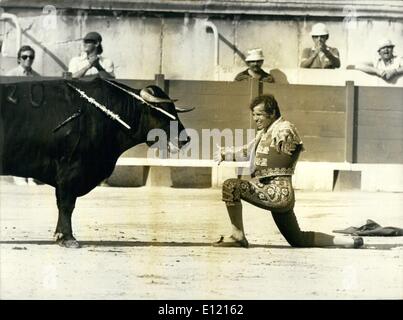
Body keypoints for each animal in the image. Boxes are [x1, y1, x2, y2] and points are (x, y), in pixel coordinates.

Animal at [0, 77, 193, 248]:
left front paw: (61, 236)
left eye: (174, 111)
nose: (185, 139)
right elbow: (66, 205)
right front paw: (68, 238)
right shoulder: (70, 170)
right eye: (161, 111)